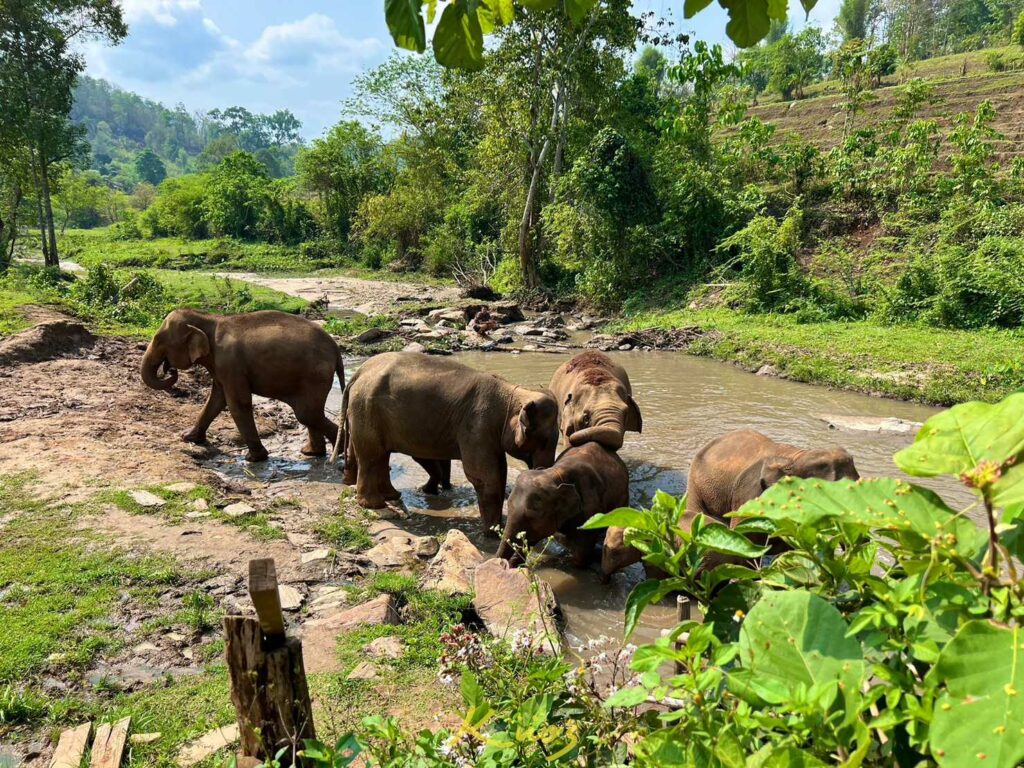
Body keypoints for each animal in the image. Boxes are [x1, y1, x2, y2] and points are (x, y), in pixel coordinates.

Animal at [140, 309, 344, 462]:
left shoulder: (230, 363)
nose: (170, 369)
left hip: (314, 376)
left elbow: (237, 403)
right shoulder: (221, 367)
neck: (209, 319)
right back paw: (311, 452)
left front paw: (253, 458)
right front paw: (187, 438)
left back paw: (339, 451)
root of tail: (335, 348)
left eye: (160, 341)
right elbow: (216, 400)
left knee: (306, 414)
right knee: (310, 415)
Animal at [337, 354, 561, 536]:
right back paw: (374, 504)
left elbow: (500, 469)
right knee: (372, 456)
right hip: (366, 410)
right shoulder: (477, 425)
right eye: (544, 441)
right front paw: (491, 533)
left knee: (381, 456)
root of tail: (358, 373)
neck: (511, 393)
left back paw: (392, 495)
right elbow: (483, 476)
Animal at [493, 442, 626, 569]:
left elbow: (581, 553)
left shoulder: (591, 508)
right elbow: (533, 537)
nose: (502, 565)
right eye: (508, 506)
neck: (554, 473)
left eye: (531, 516)